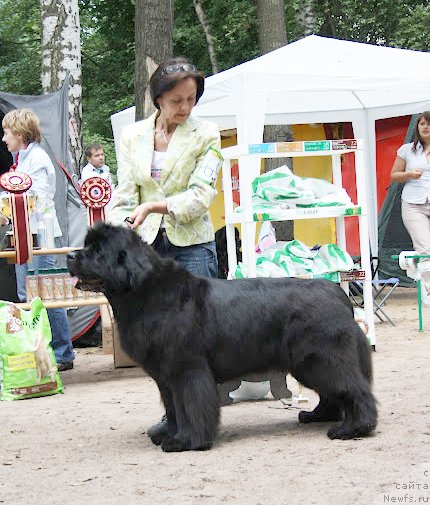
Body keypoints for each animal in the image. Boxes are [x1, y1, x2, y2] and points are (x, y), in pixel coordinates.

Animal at [66, 222, 376, 450]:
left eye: (97, 250)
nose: (70, 256)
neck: (143, 294)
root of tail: (338, 294)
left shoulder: (187, 370)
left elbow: (190, 407)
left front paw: (186, 442)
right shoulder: (166, 378)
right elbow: (173, 408)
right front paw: (168, 434)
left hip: (323, 358)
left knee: (353, 389)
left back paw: (353, 428)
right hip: (308, 364)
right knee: (333, 392)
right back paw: (317, 416)